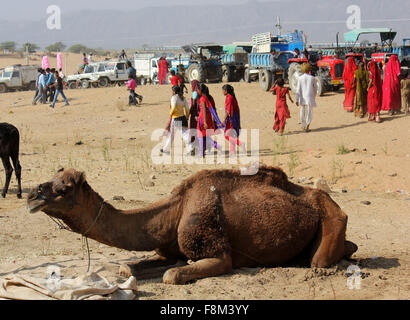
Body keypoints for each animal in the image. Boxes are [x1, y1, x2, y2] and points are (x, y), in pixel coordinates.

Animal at [27, 165, 358, 284]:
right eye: (52, 178)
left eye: (63, 189)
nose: (31, 196)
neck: (175, 209)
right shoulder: (167, 249)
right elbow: (128, 268)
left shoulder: (216, 251)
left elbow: (172, 275)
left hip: (331, 217)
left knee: (319, 260)